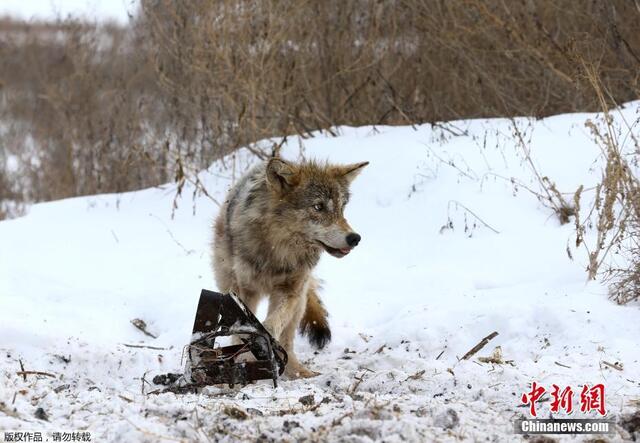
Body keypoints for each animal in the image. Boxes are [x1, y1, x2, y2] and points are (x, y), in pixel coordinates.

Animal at [212, 156, 368, 378]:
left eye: (341, 208)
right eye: (318, 207)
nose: (355, 238)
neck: (279, 251)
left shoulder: (291, 290)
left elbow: (272, 324)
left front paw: (261, 345)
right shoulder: (246, 291)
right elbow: (244, 328)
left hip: (300, 301)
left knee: (287, 340)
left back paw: (298, 372)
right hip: (229, 284)